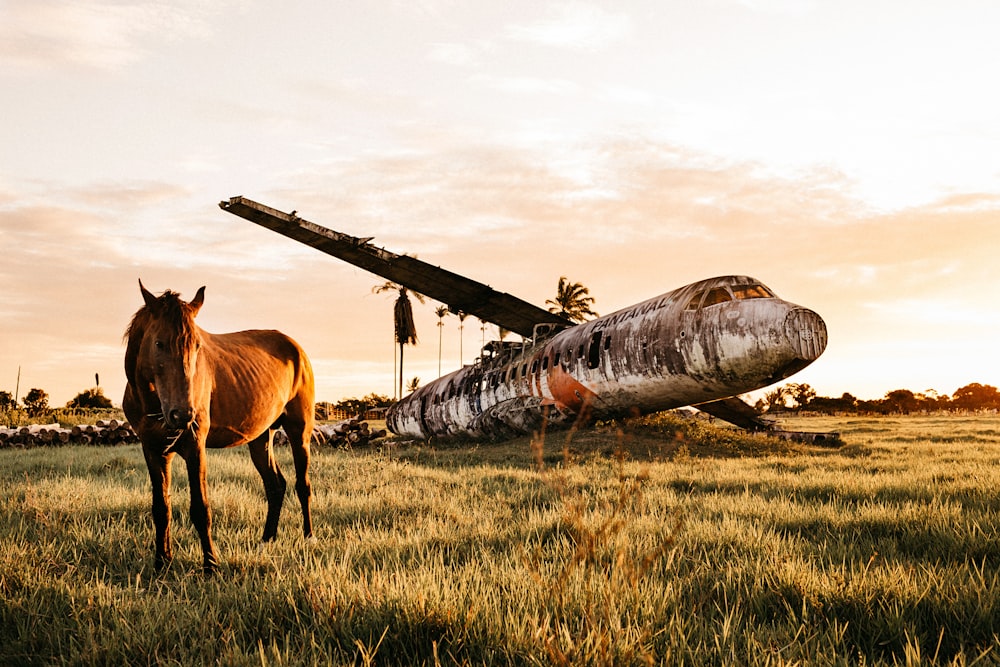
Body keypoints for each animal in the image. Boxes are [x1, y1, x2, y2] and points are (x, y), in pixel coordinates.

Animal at [124, 282, 314, 576]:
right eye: (158, 343)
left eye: (197, 346)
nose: (182, 415)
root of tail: (296, 349)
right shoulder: (154, 450)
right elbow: (161, 508)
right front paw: (161, 564)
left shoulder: (195, 446)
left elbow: (200, 509)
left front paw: (211, 566)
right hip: (260, 438)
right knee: (275, 485)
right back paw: (266, 541)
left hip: (299, 431)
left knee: (302, 484)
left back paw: (308, 538)